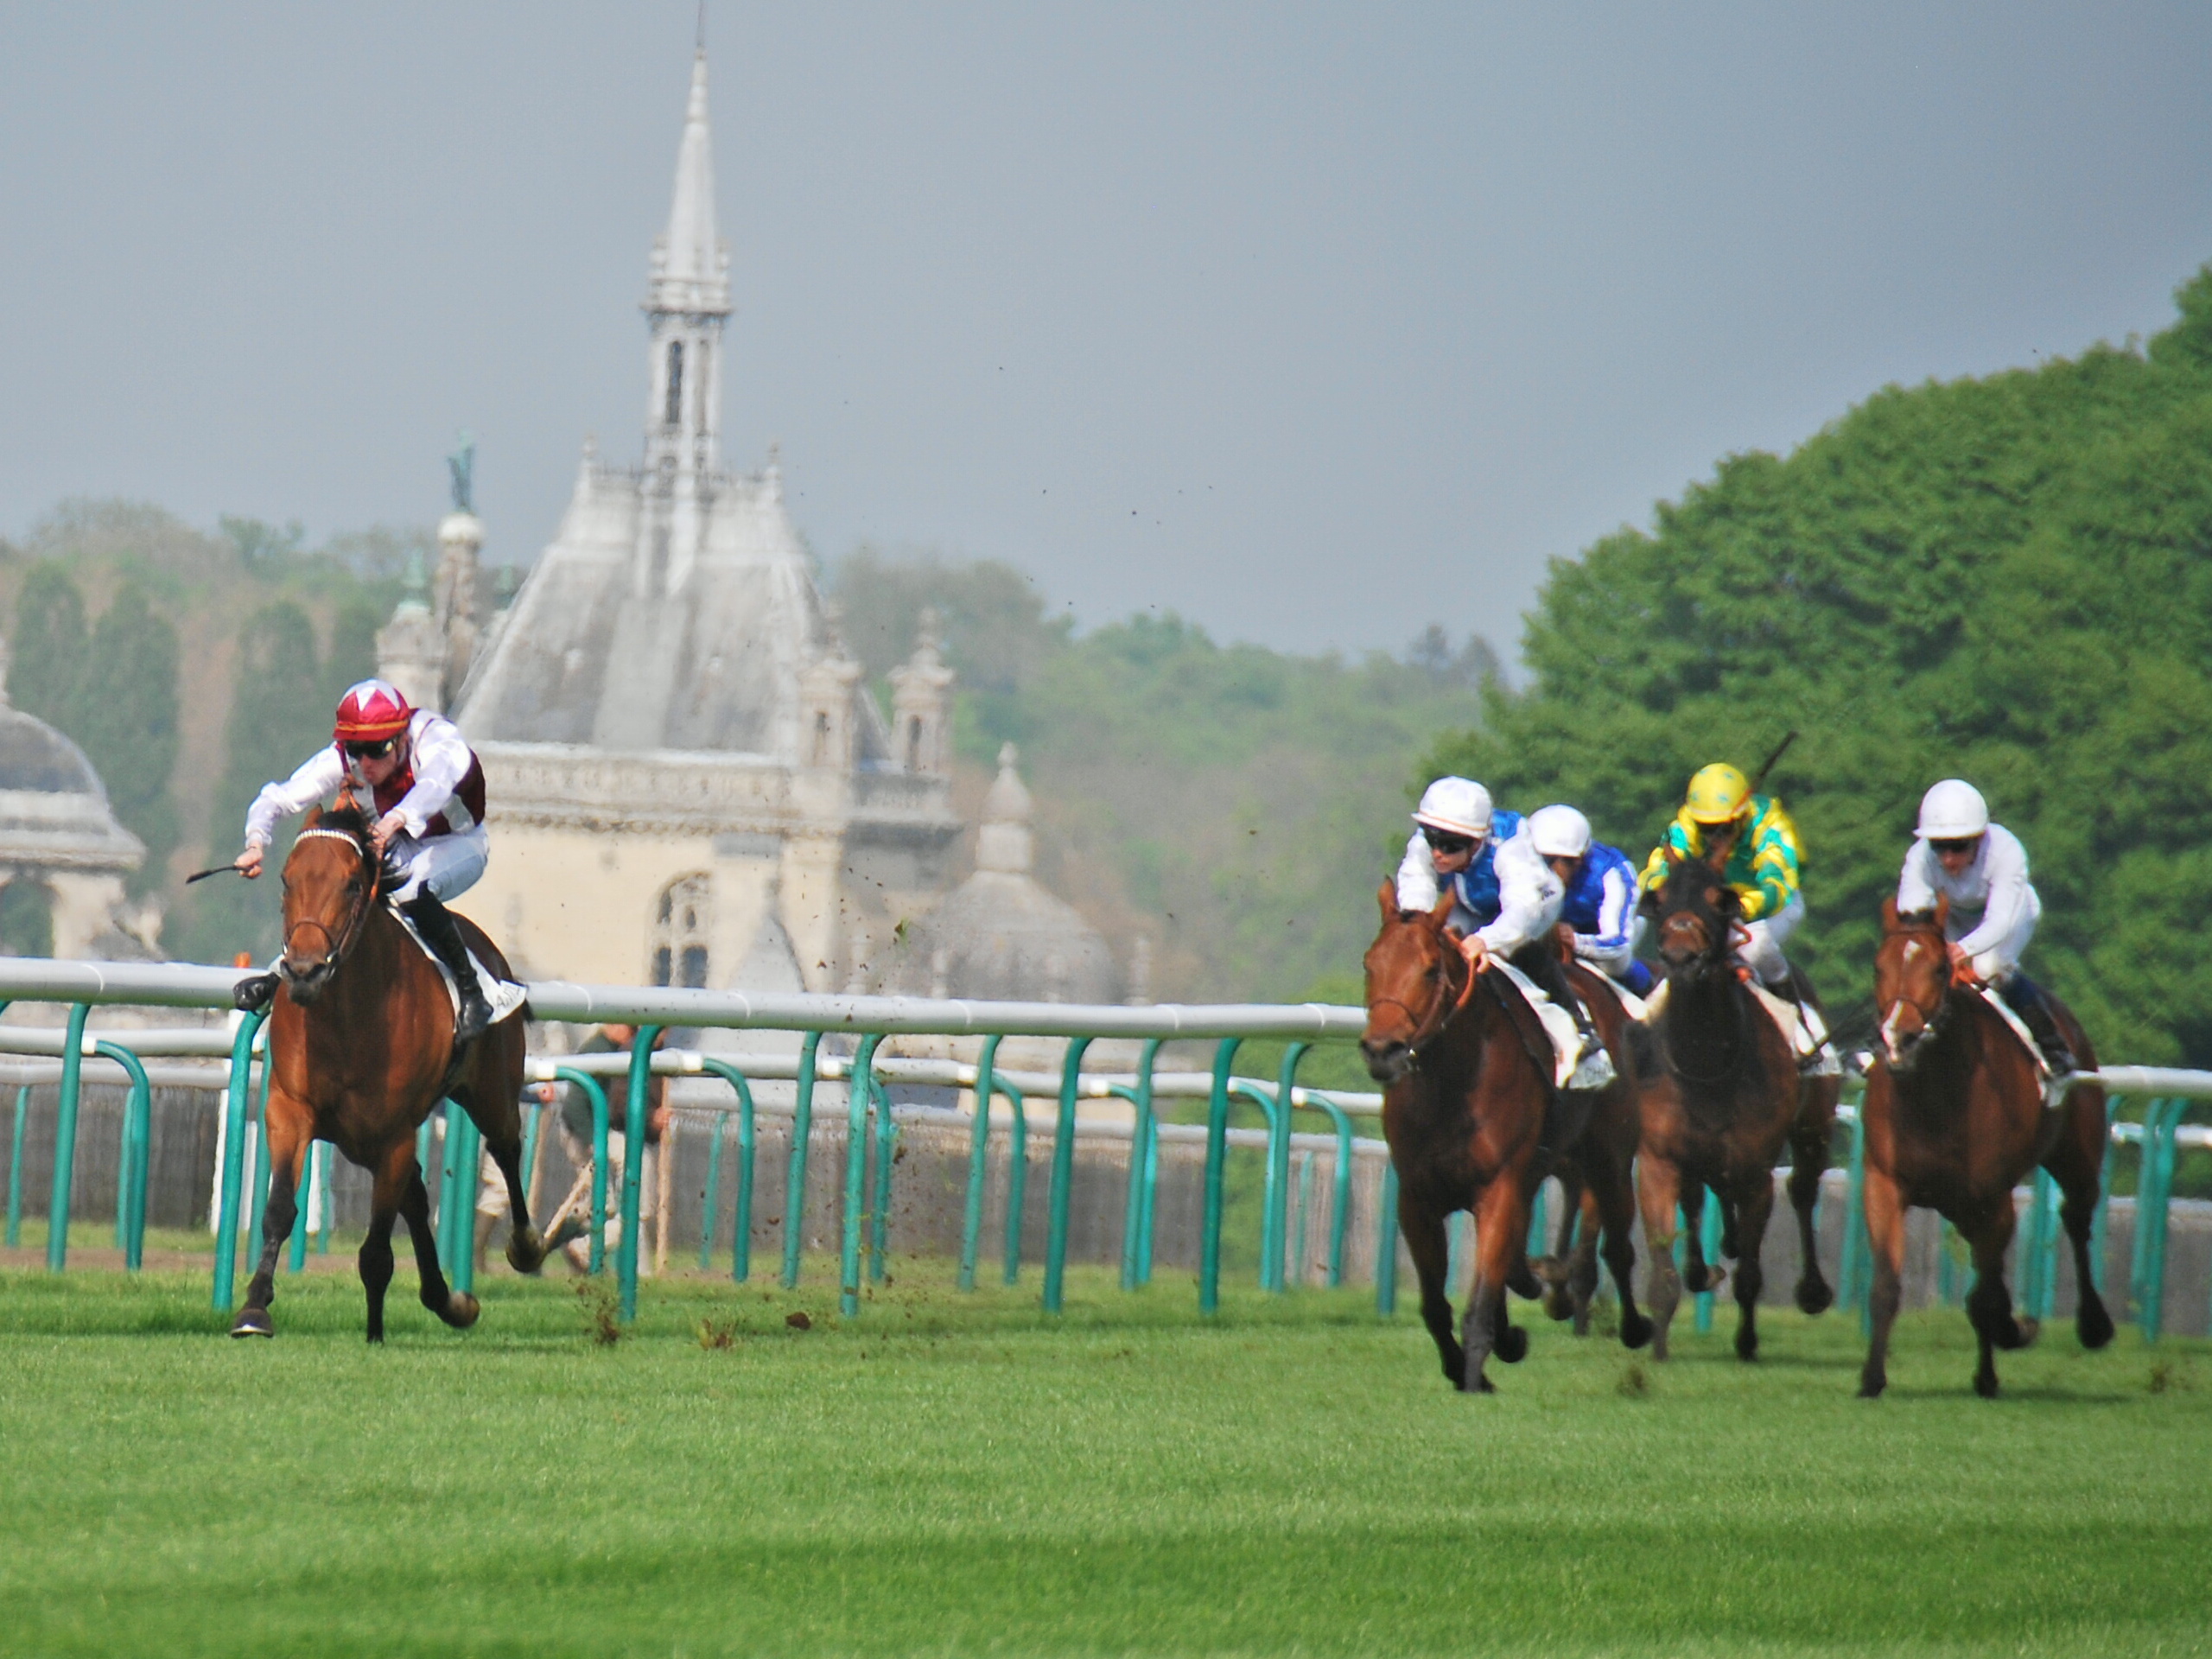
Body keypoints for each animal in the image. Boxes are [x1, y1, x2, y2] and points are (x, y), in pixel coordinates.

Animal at [228, 809, 543, 1353]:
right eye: (287, 881)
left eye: (353, 884)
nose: (304, 971)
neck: (347, 1015)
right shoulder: (289, 1110)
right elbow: (279, 1210)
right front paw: (254, 1308)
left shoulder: (393, 1132)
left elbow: (376, 1247)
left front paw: (374, 1331)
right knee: (415, 1192)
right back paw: (446, 1299)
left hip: (489, 1091)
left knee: (504, 1147)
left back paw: (523, 1247)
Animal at [1353, 889, 1654, 1397]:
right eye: (1370, 964)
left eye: (1430, 969)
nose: (1382, 1051)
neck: (1452, 1085)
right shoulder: (1418, 1199)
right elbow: (1435, 1305)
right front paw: (1468, 1362)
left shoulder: (1498, 1188)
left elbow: (1478, 1303)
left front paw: (1475, 1377)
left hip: (1608, 1158)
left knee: (1617, 1246)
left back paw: (1634, 1327)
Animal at [1637, 858, 1840, 1362]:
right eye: (1661, 899)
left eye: (1718, 902)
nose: (1681, 957)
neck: (1706, 1062)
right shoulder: (1658, 1158)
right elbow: (1663, 1258)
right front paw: (1659, 1347)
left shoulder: (1755, 1171)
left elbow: (1750, 1270)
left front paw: (1747, 1341)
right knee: (1698, 1197)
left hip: (1813, 1128)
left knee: (1803, 1190)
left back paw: (1812, 1290)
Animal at [1858, 902, 2114, 1397]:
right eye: (1878, 966)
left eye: (1940, 969)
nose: (1899, 1040)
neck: (1934, 1093)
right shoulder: (1885, 1182)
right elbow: (1886, 1285)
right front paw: (1872, 1378)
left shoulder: (1993, 1199)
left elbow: (1985, 1295)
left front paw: (2007, 1340)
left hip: (2076, 1156)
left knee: (2076, 1219)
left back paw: (2093, 1325)